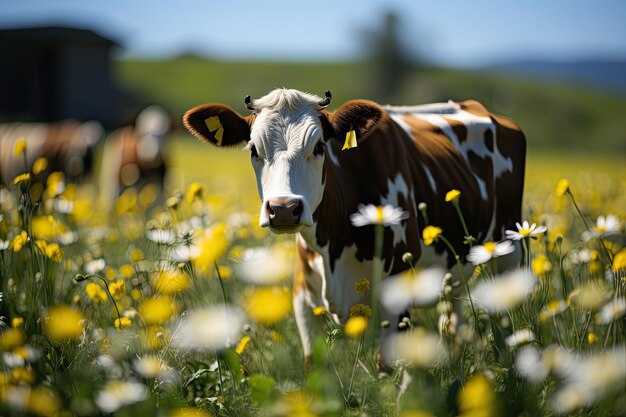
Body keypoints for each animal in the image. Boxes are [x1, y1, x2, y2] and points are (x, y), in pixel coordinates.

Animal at [183, 88, 524, 368]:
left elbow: (388, 367)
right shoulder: (303, 297)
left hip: (508, 248)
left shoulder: (398, 291)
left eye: (319, 146)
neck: (334, 249)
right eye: (254, 149)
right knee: (452, 320)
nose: (283, 208)